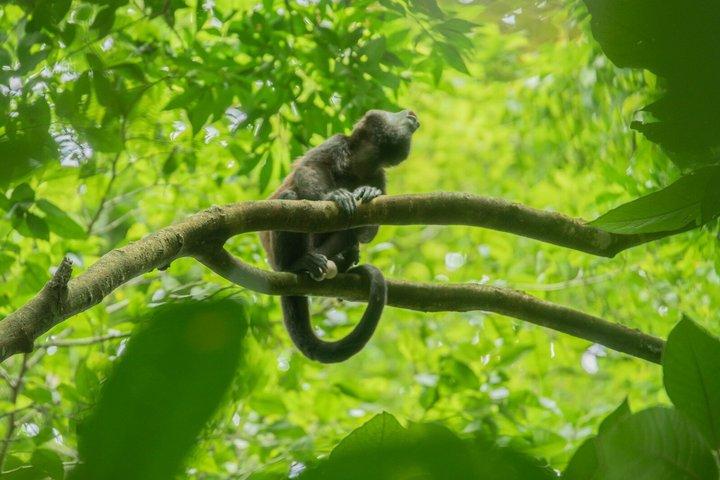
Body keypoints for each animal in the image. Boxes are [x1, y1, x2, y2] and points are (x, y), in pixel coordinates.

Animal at [259, 109, 420, 363]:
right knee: (290, 197)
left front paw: (368, 192)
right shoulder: (335, 143)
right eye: (392, 112)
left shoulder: (380, 176)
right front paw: (334, 196)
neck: (362, 162)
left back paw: (340, 259)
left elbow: (367, 231)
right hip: (277, 258)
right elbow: (308, 170)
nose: (409, 112)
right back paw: (297, 264)